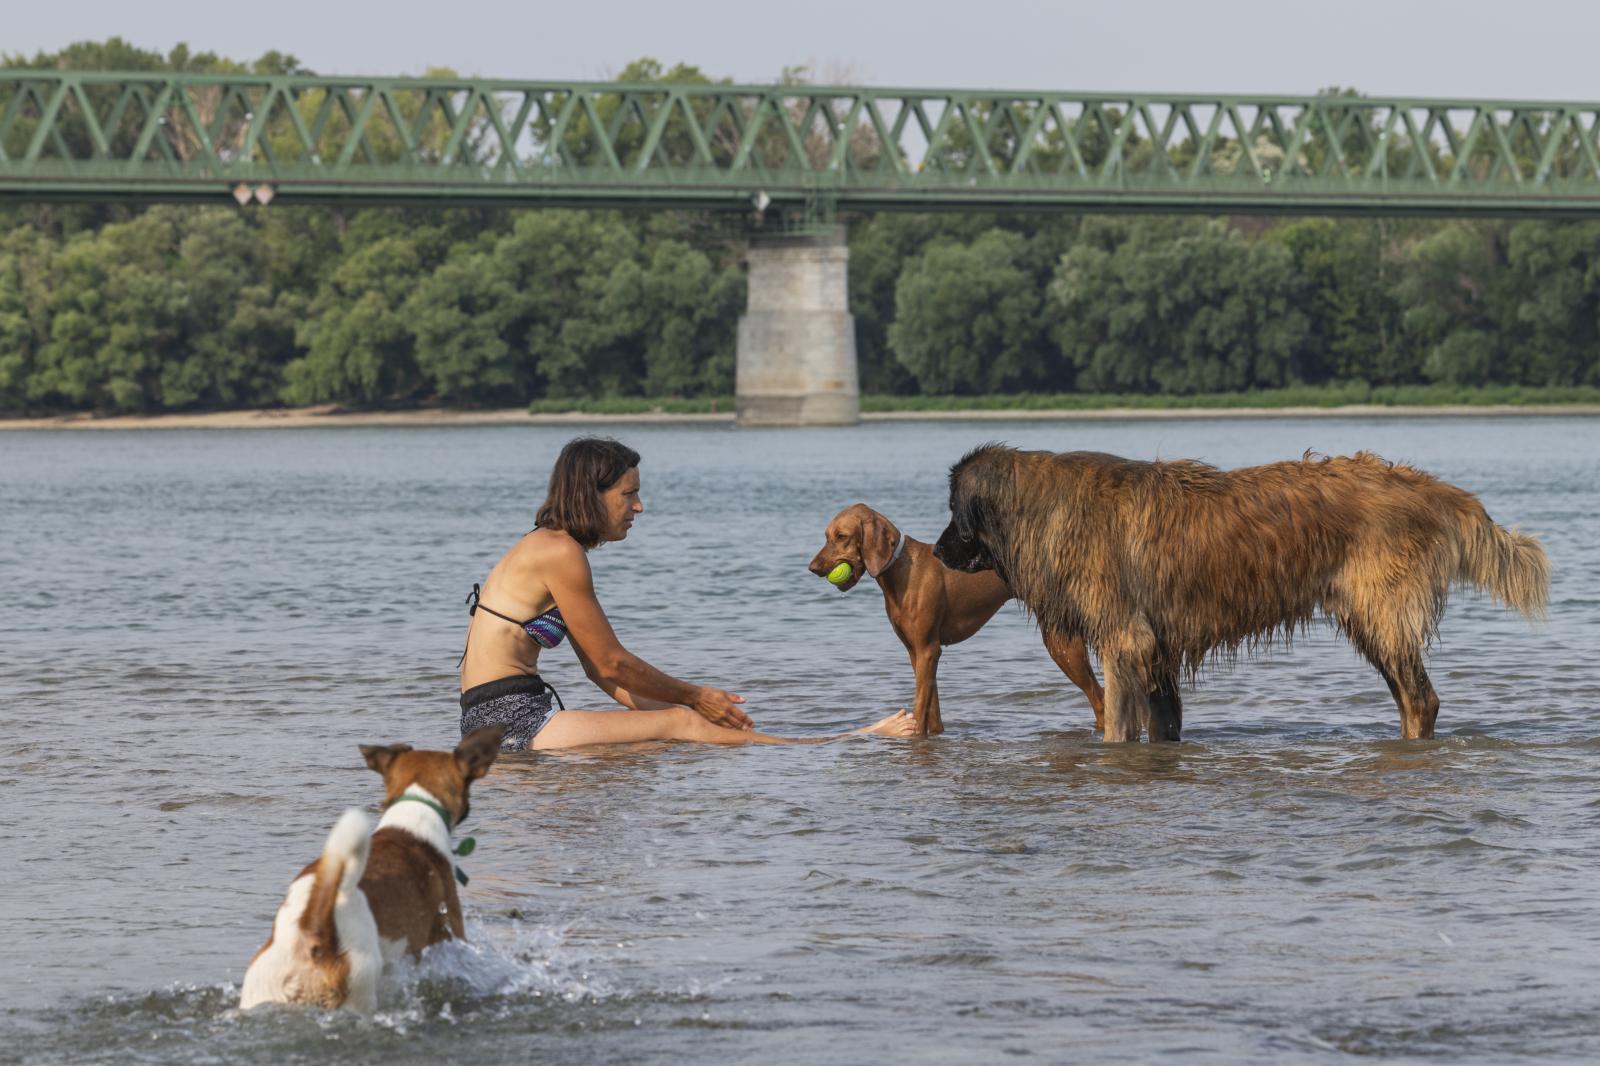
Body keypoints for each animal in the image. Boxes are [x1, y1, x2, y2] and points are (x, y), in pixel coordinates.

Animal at [812, 502, 1100, 736]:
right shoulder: (918, 653)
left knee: (1100, 700)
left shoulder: (928, 650)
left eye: (842, 537)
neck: (900, 570)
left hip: (1063, 647)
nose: (812, 568)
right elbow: (932, 711)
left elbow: (919, 710)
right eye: (826, 536)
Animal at [934, 444, 1542, 742]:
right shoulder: (1155, 652)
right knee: (1413, 696)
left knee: (1420, 699)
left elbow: (1116, 723)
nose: (937, 552)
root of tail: (1433, 489)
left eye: (955, 515)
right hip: (1372, 622)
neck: (1042, 506)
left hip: (1381, 614)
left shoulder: (1125, 641)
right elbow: (1163, 720)